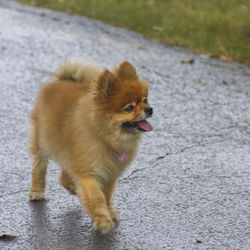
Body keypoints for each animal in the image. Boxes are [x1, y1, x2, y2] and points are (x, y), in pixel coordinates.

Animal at [28, 58, 153, 232]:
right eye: (129, 108)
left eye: (145, 100)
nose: (150, 109)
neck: (105, 137)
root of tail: (61, 80)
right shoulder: (88, 171)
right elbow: (97, 197)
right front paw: (103, 220)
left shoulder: (109, 173)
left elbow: (107, 195)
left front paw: (109, 211)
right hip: (42, 142)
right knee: (39, 167)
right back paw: (37, 192)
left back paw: (71, 185)